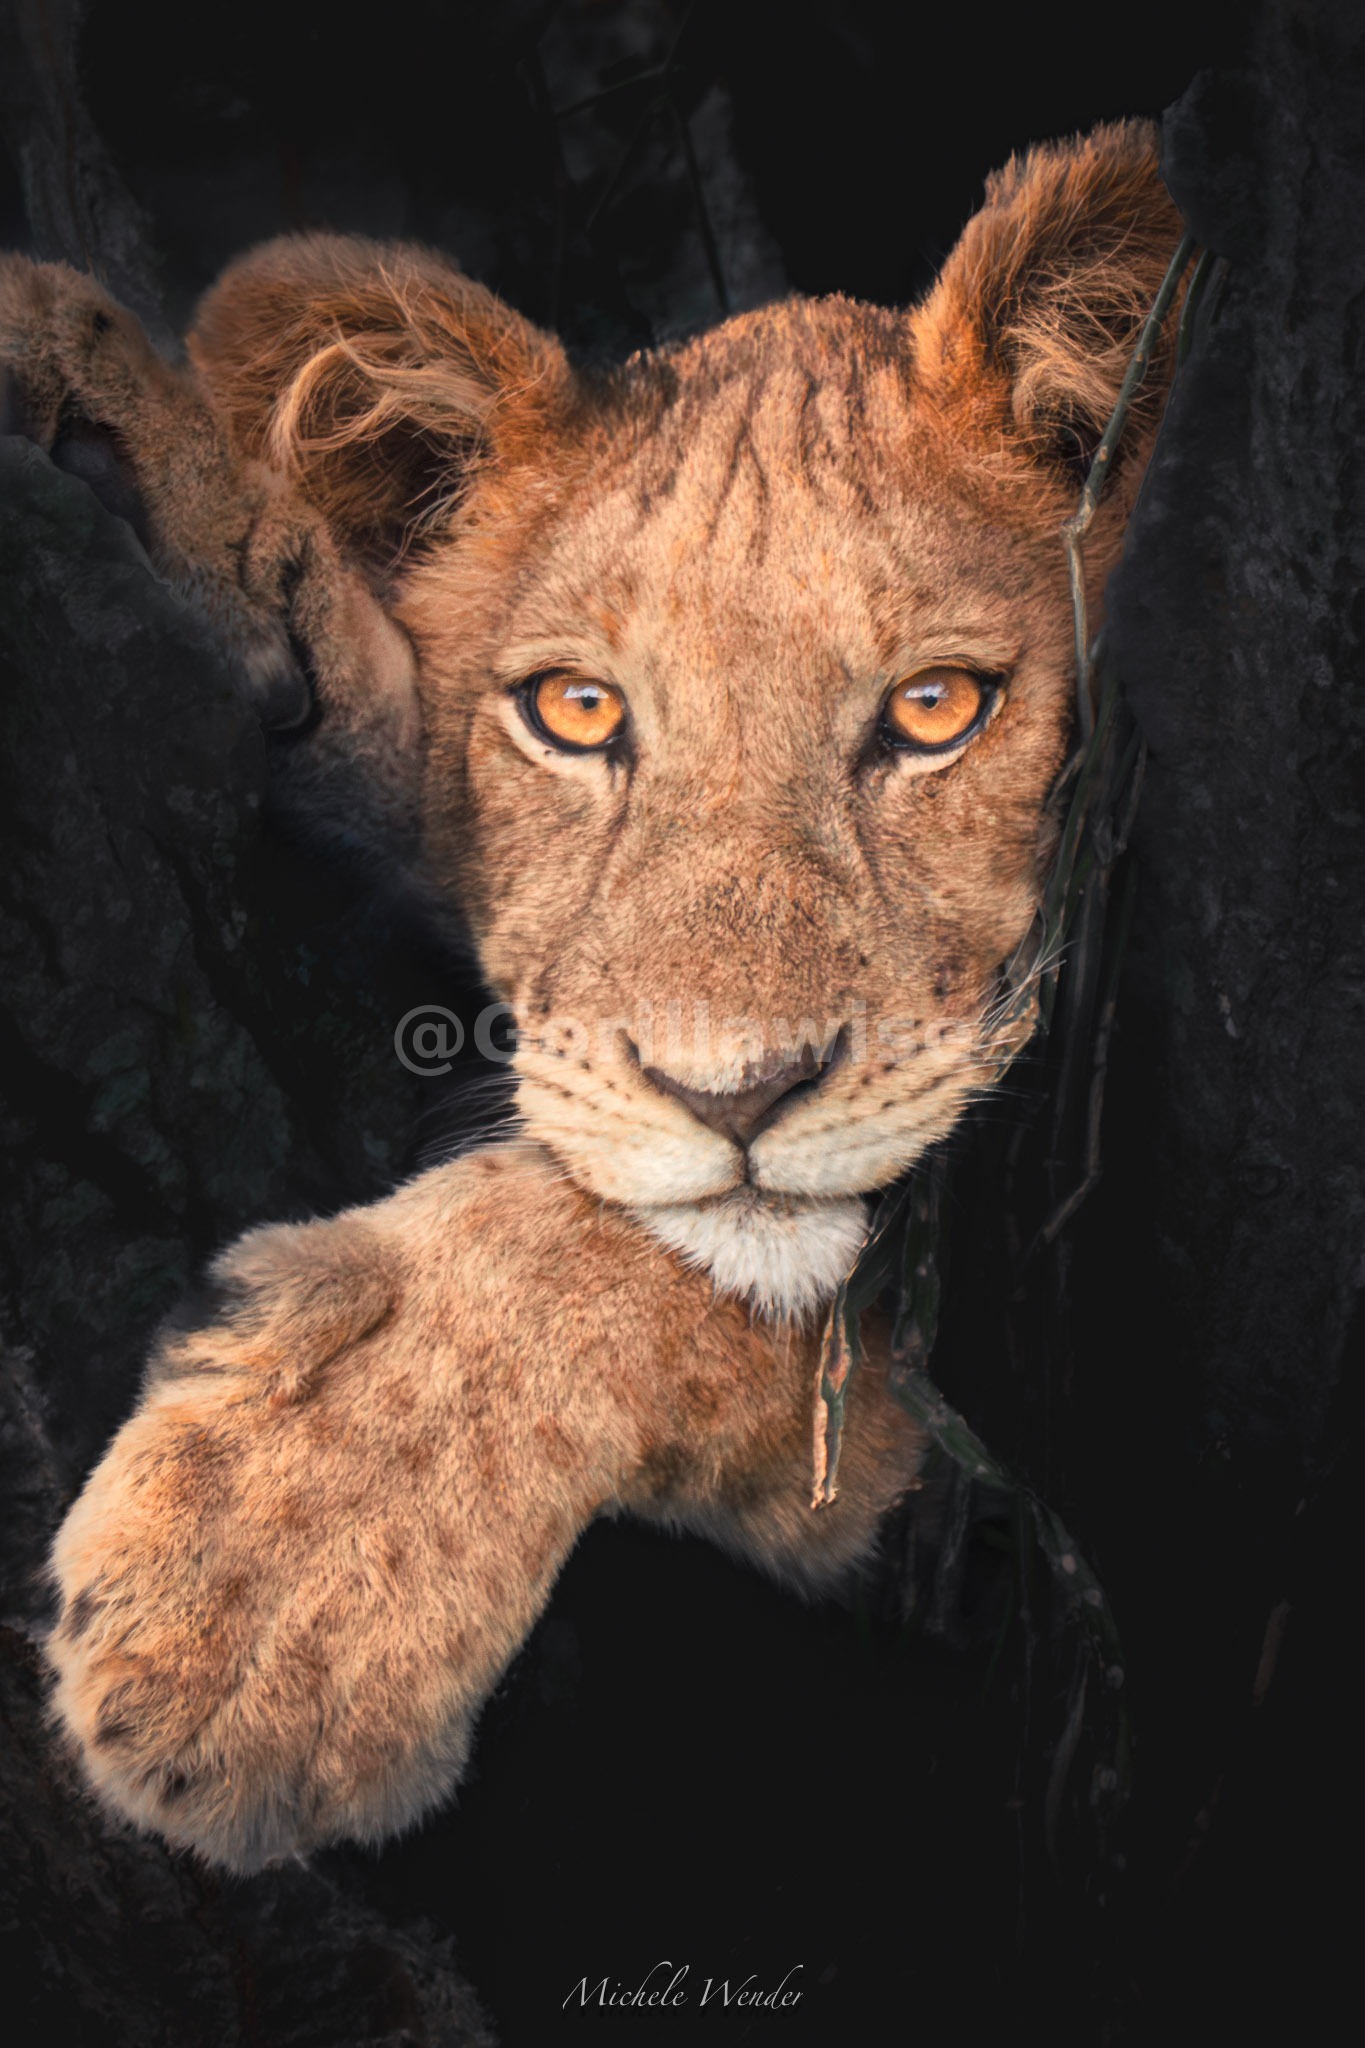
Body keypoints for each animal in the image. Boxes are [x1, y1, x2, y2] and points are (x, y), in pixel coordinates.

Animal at [0, 121, 1182, 1873]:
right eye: (574, 711)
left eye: (934, 709)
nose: (735, 1096)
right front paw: (101, 409)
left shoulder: (988, 1521)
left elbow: (627, 1253)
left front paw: (281, 1585)